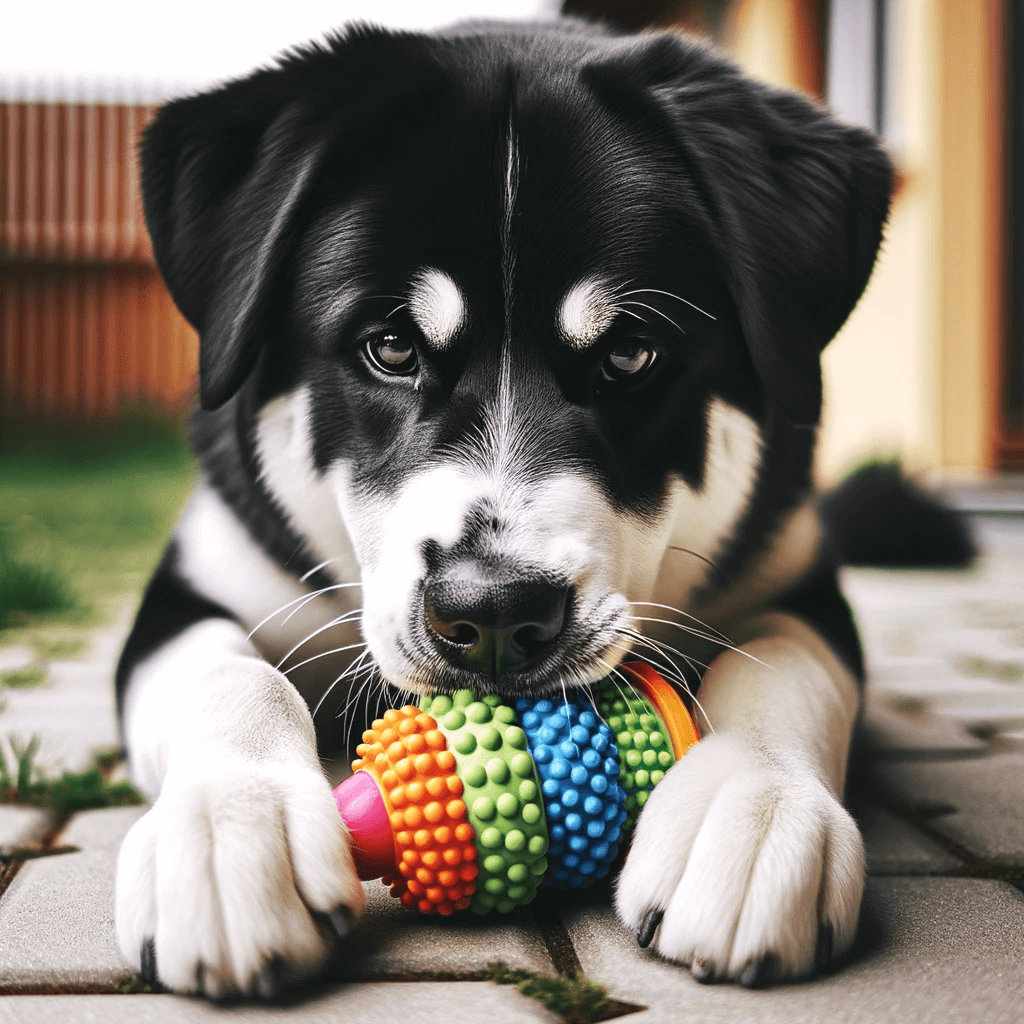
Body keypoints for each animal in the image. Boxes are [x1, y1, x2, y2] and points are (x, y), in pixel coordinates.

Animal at [114, 19, 897, 999]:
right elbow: (228, 674)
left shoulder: (796, 578)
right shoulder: (199, 582)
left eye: (631, 355)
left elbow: (782, 663)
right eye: (390, 348)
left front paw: (752, 808)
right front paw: (230, 827)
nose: (490, 613)